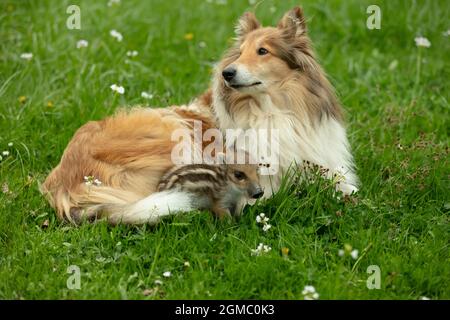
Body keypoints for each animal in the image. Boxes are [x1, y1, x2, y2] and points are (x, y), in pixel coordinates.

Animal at [42, 7, 358, 226]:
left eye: (263, 51)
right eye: (239, 53)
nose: (226, 73)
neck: (272, 109)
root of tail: (64, 182)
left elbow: (348, 189)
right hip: (173, 132)